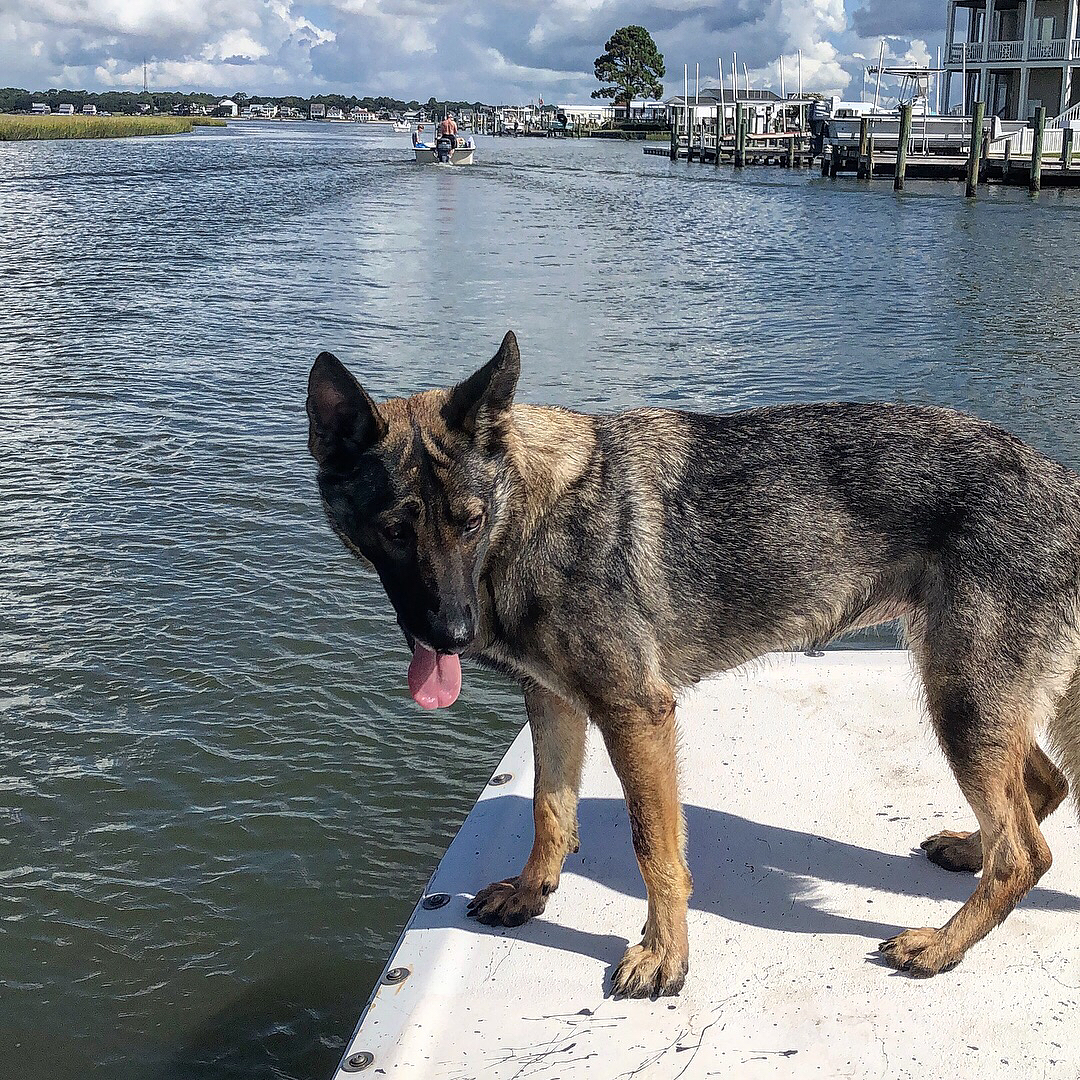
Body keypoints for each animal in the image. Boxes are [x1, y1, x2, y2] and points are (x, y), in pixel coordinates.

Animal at [306, 332, 1080, 997]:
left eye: (469, 522)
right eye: (394, 531)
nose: (452, 634)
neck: (531, 516)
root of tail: (1065, 486)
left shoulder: (634, 714)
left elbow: (656, 849)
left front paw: (663, 957)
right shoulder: (554, 704)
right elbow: (550, 809)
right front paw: (532, 894)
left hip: (962, 701)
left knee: (1026, 852)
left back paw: (943, 945)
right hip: (979, 702)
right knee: (1041, 794)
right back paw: (968, 854)